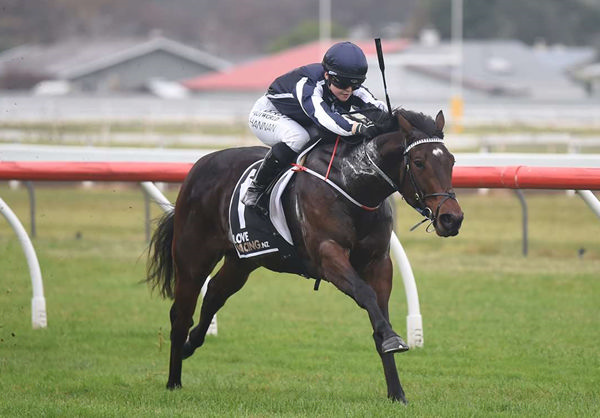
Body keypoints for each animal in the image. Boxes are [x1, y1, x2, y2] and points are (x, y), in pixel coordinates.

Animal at [146, 109, 464, 404]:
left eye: (451, 161)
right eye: (419, 162)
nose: (452, 219)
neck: (352, 182)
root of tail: (198, 166)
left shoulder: (379, 262)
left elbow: (379, 317)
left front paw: (397, 391)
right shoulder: (328, 255)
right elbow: (365, 294)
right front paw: (394, 340)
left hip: (244, 260)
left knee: (214, 294)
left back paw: (191, 345)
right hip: (193, 257)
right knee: (181, 314)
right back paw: (173, 380)